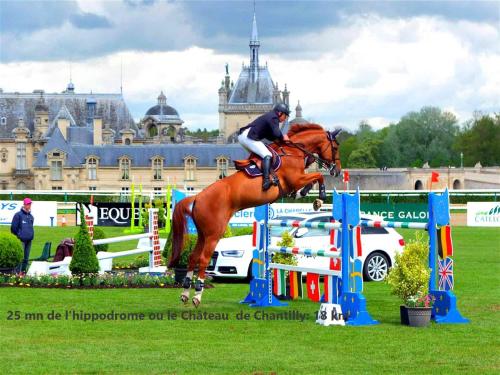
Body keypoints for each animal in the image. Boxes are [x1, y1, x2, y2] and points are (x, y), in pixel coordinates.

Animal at [168, 125, 340, 306]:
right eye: (335, 148)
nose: (337, 171)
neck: (293, 152)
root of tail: (197, 197)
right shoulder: (296, 179)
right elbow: (318, 176)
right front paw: (320, 199)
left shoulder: (294, 183)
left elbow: (310, 182)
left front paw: (306, 195)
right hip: (214, 233)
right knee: (203, 259)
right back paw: (197, 295)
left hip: (202, 233)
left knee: (193, 257)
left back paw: (185, 293)